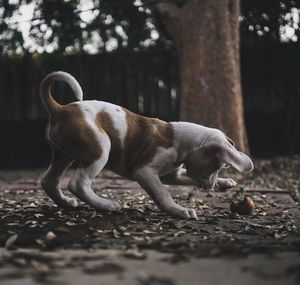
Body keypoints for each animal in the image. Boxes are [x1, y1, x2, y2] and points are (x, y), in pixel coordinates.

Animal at [39, 71, 253, 217]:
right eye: (219, 165)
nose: (210, 187)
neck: (181, 140)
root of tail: (60, 109)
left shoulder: (171, 174)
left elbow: (184, 178)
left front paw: (225, 183)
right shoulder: (145, 172)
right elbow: (163, 194)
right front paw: (179, 211)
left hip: (63, 155)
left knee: (49, 181)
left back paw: (66, 203)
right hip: (100, 147)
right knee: (78, 183)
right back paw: (107, 205)